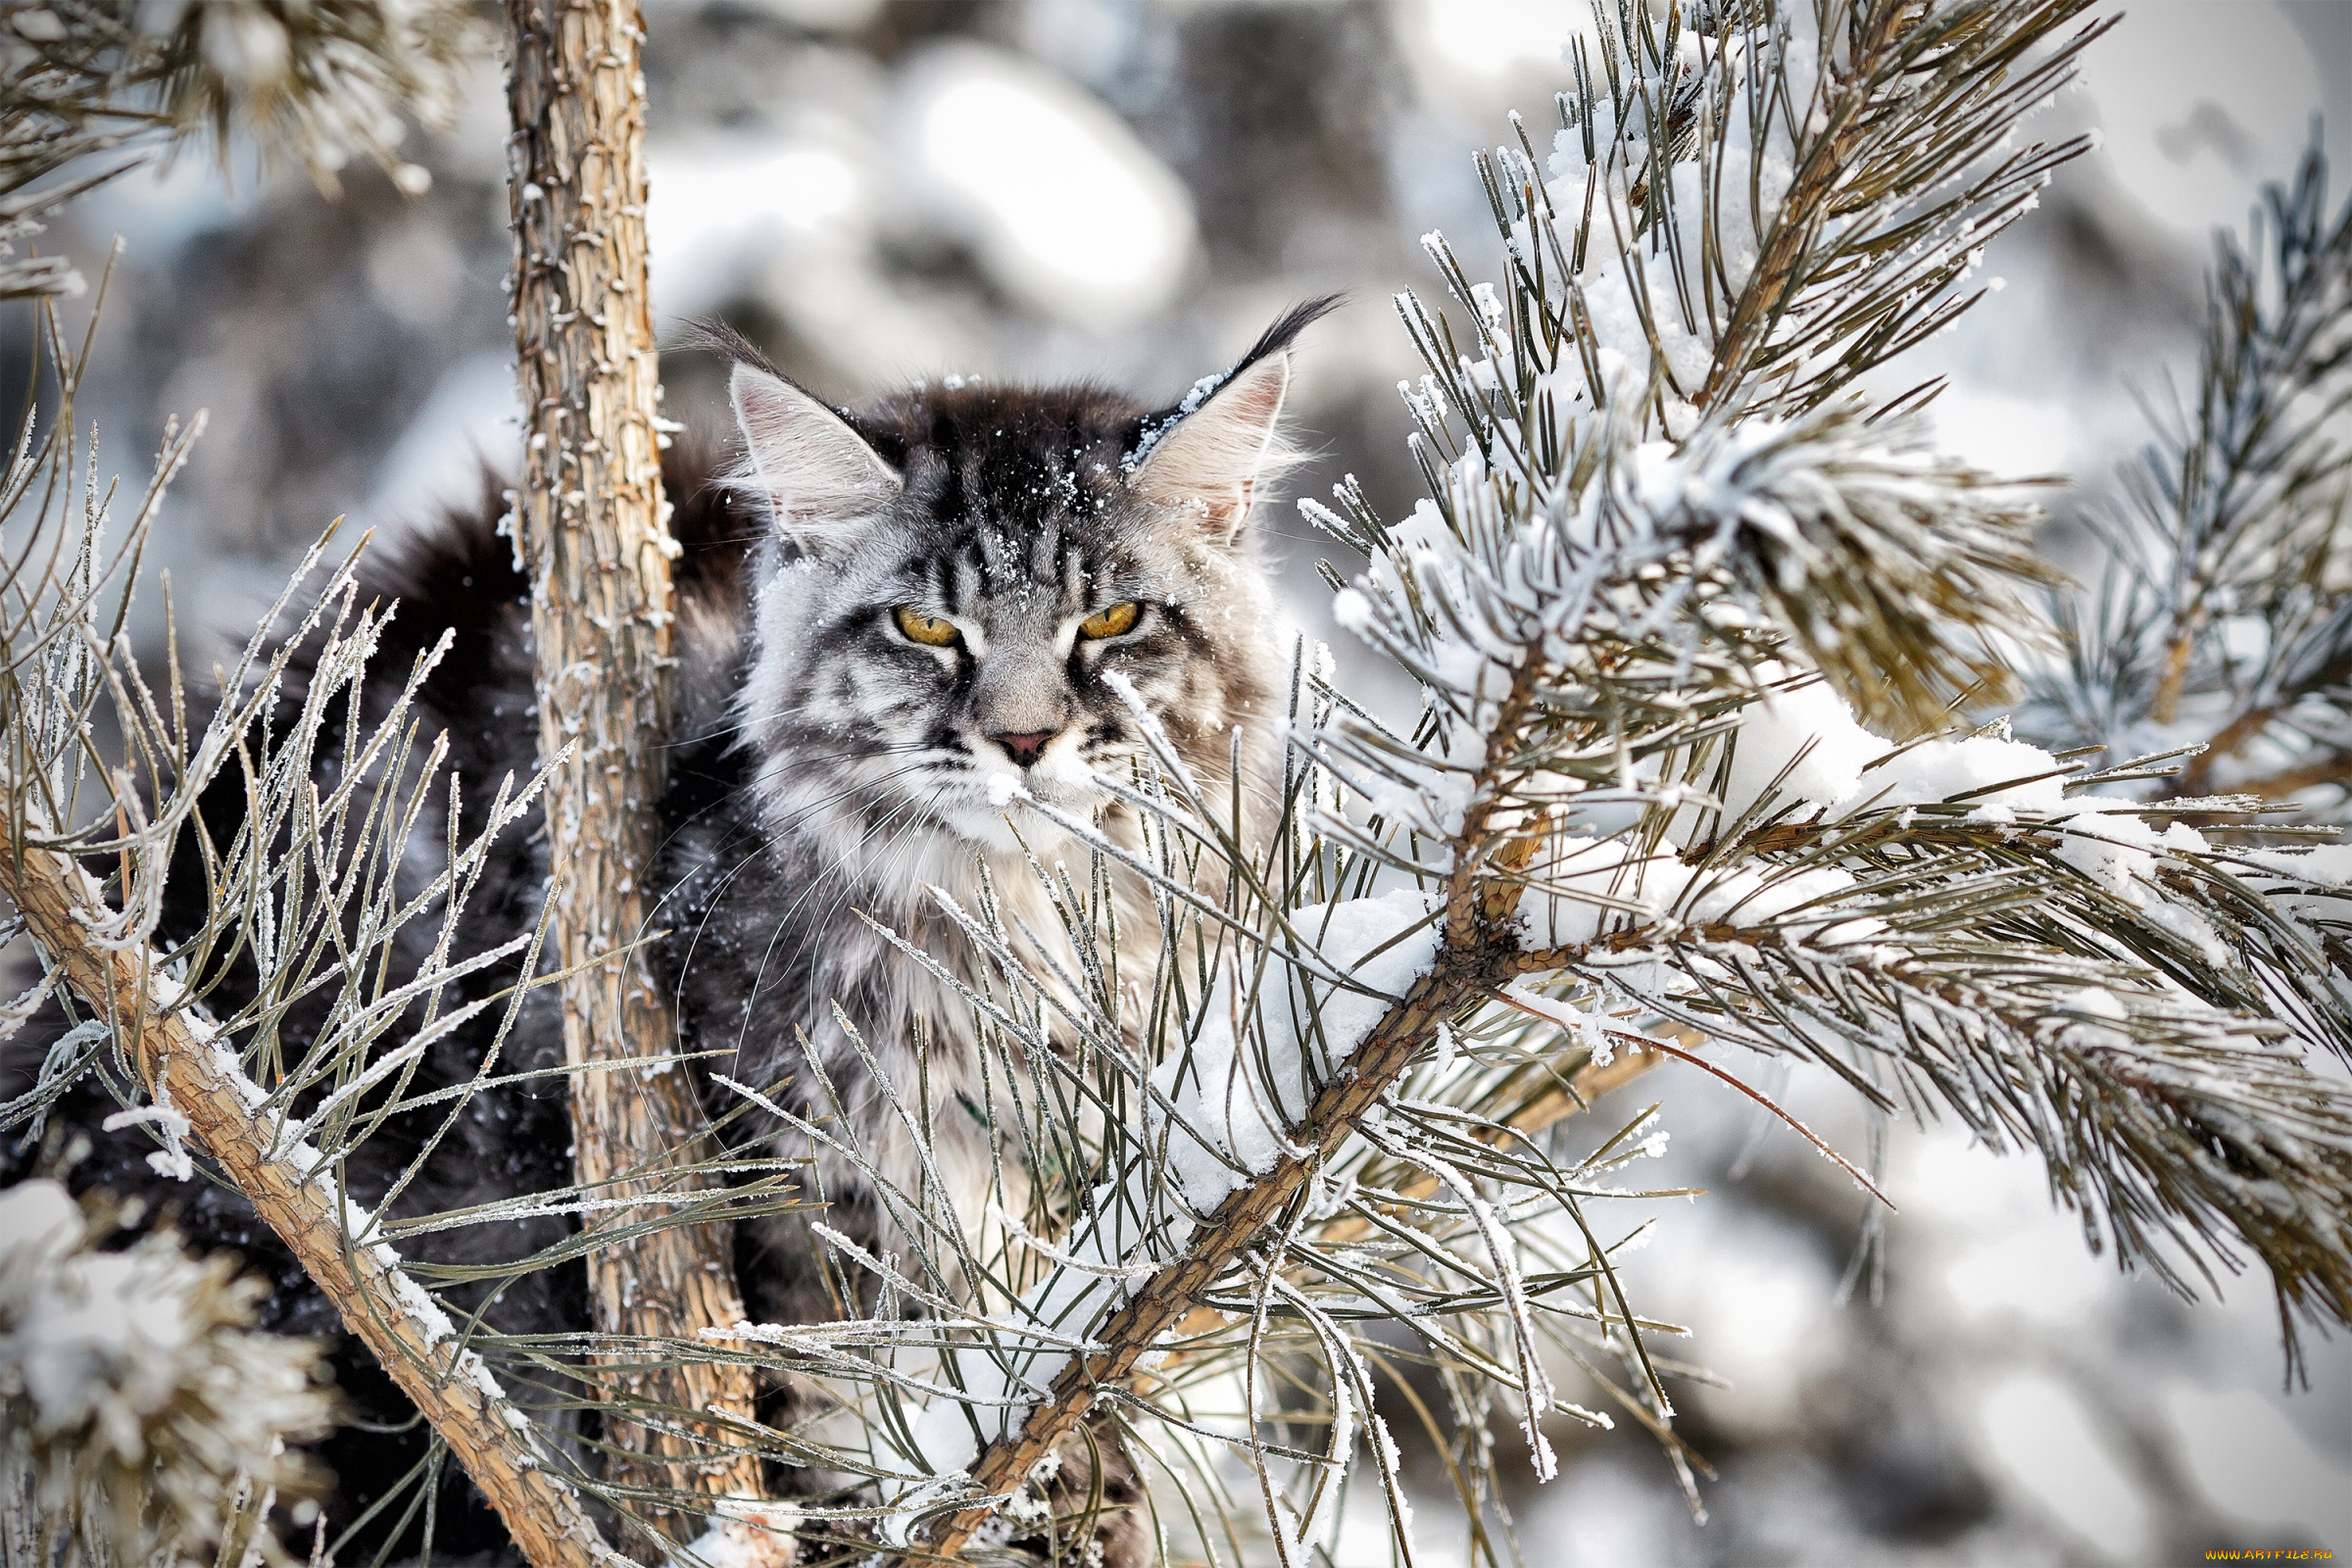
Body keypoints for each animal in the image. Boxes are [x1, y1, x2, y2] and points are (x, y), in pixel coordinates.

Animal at [9, 301, 1345, 1560]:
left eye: (1114, 619)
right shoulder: (810, 1184)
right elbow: (843, 1401)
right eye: (925, 629)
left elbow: (1063, 1365)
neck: (1015, 927)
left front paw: (1082, 1504)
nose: (1022, 739)